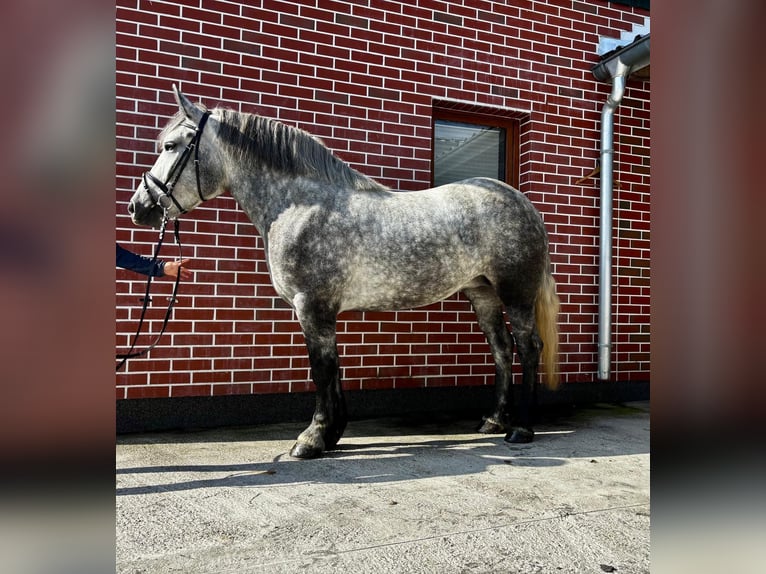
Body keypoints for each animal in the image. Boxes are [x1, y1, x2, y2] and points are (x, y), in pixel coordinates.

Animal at [128, 85, 560, 459]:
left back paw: (522, 428)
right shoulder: (320, 310)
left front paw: (312, 440)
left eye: (170, 146)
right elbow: (333, 369)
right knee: (502, 350)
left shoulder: (311, 306)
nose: (139, 207)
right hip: (482, 293)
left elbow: (321, 369)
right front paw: (333, 433)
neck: (300, 205)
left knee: (528, 347)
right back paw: (493, 421)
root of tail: (523, 203)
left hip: (516, 293)